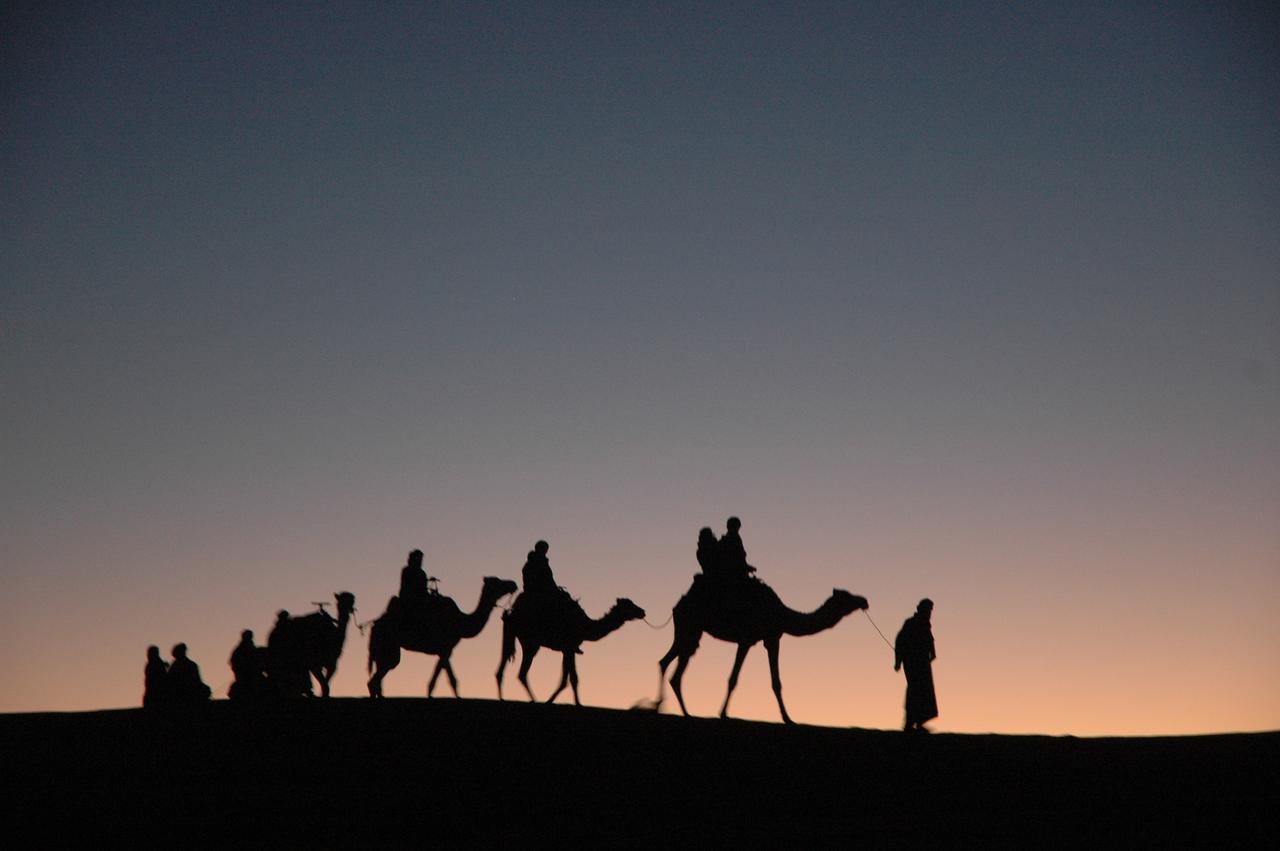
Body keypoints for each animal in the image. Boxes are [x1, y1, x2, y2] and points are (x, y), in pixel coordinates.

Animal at [366, 573, 514, 696]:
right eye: (498, 581)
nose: (513, 584)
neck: (459, 622)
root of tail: (374, 626)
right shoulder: (445, 649)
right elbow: (448, 681)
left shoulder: (445, 651)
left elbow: (441, 681)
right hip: (389, 647)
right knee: (376, 679)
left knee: (376, 682)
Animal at [494, 591, 645, 701]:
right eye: (629, 605)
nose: (642, 611)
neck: (585, 627)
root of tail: (511, 612)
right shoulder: (569, 647)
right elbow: (570, 679)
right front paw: (559, 702)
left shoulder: (568, 649)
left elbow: (569, 679)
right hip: (530, 642)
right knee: (521, 673)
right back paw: (533, 700)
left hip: (513, 634)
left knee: (504, 666)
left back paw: (503, 698)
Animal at [655, 573, 865, 721]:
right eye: (847, 596)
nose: (864, 601)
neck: (782, 614)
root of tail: (678, 604)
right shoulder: (747, 639)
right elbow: (734, 678)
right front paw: (723, 713)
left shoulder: (771, 638)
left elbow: (776, 681)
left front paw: (788, 718)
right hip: (690, 626)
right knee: (673, 666)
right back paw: (676, 710)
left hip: (690, 630)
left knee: (668, 664)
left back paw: (673, 709)